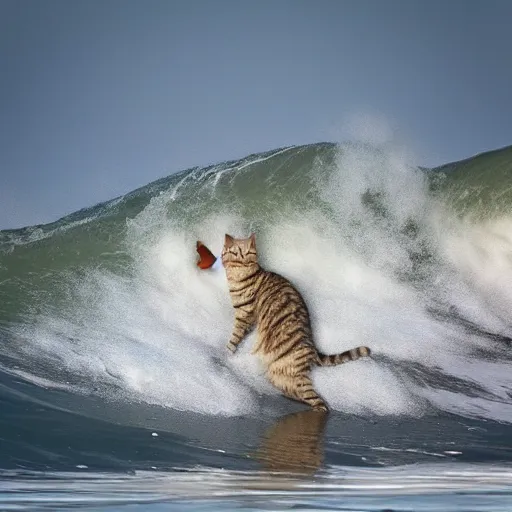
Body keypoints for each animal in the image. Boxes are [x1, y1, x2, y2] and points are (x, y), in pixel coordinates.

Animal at [222, 232, 370, 412]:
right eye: (237, 253)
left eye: (245, 253)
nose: (241, 259)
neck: (244, 270)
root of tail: (312, 347)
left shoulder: (244, 316)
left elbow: (234, 339)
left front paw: (227, 353)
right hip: (279, 375)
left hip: (289, 374)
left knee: (318, 402)